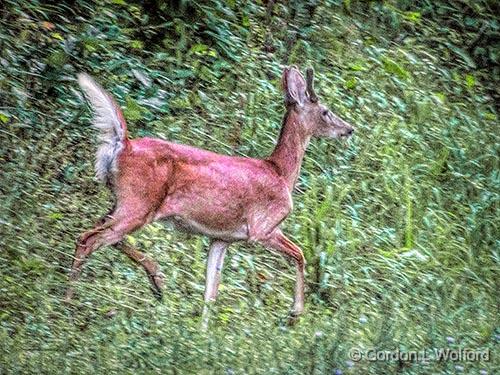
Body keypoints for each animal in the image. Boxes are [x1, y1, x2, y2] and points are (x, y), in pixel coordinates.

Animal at [65, 65, 356, 326]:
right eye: (326, 111)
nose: (349, 129)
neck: (280, 172)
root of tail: (123, 145)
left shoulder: (221, 238)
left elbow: (211, 291)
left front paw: (202, 334)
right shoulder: (262, 228)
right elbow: (300, 254)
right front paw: (295, 313)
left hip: (127, 205)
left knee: (105, 235)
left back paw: (156, 281)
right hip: (137, 204)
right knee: (88, 238)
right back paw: (68, 299)